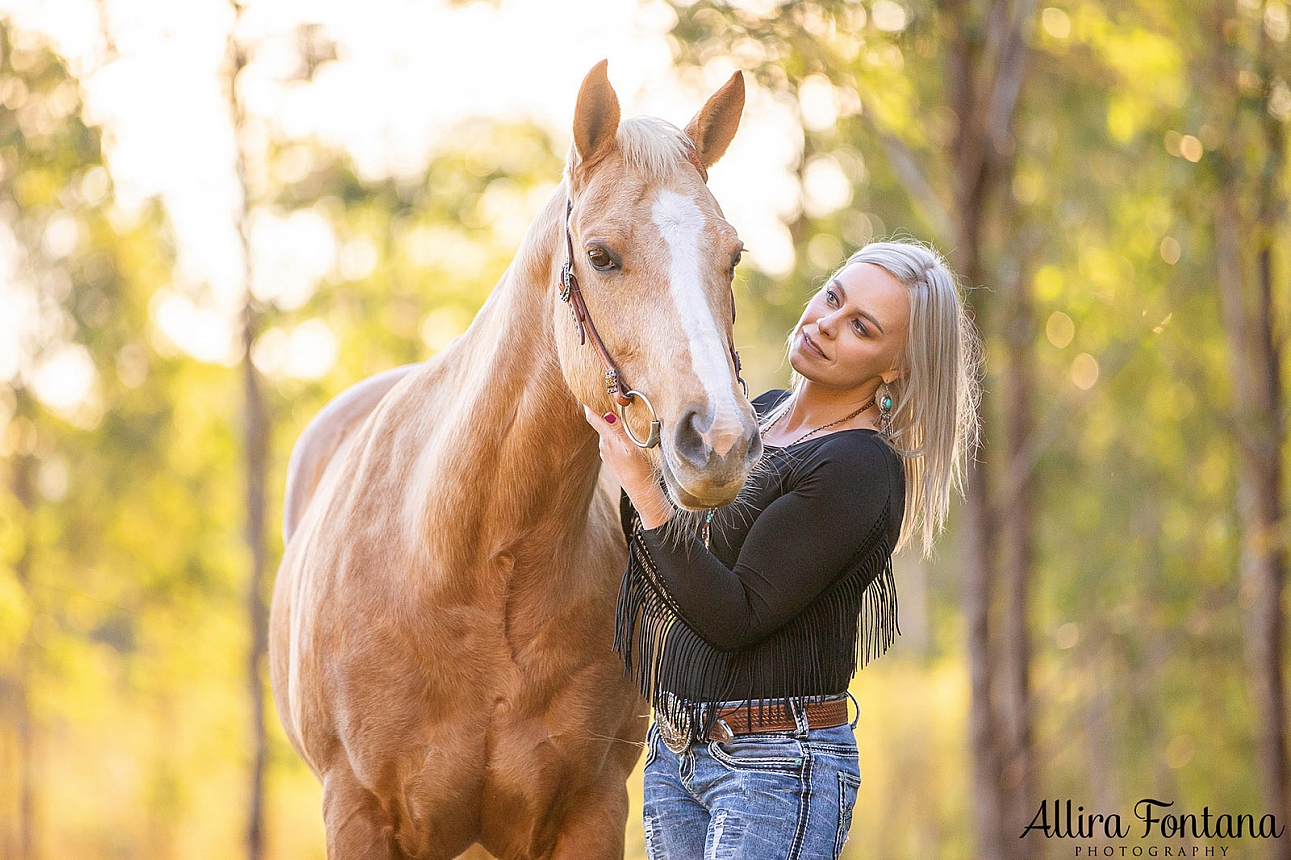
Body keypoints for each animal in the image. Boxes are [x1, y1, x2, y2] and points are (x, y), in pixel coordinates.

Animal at [267, 61, 759, 857]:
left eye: (732, 255)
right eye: (600, 256)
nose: (717, 441)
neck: (470, 561)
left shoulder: (592, 810)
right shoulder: (358, 813)